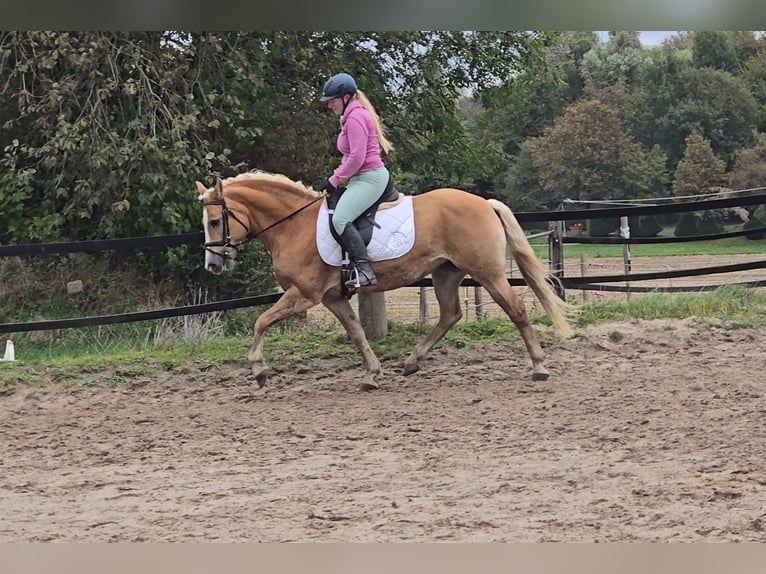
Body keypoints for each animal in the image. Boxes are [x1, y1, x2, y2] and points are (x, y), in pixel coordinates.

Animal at [198, 173, 576, 394]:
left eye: (215, 221)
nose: (213, 265)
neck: (294, 225)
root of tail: (484, 203)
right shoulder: (333, 297)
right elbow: (356, 331)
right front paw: (372, 374)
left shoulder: (304, 295)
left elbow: (262, 321)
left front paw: (259, 371)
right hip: (446, 272)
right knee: (450, 315)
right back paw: (412, 361)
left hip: (488, 273)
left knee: (516, 309)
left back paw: (539, 367)